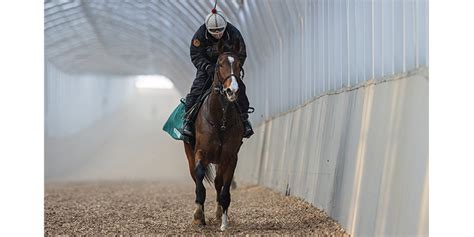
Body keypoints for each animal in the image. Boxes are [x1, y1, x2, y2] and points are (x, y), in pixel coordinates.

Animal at [183, 40, 244, 231]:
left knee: (218, 182)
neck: (220, 120)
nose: (232, 90)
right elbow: (200, 183)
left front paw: (224, 223)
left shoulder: (230, 157)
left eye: (239, 64)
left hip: (220, 160)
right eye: (219, 64)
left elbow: (224, 190)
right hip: (190, 153)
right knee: (195, 177)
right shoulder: (200, 153)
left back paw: (218, 214)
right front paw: (198, 217)